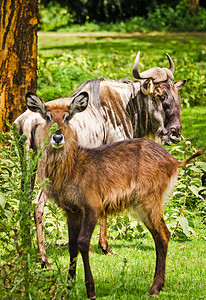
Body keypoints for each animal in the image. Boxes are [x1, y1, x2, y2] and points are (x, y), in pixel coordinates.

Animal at [25, 91, 203, 298]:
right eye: (47, 117)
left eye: (67, 117)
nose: (57, 137)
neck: (73, 168)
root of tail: (174, 161)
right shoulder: (71, 211)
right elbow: (71, 246)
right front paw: (68, 287)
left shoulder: (92, 207)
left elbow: (83, 242)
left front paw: (90, 290)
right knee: (161, 235)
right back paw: (158, 286)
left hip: (148, 202)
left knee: (163, 234)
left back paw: (155, 288)